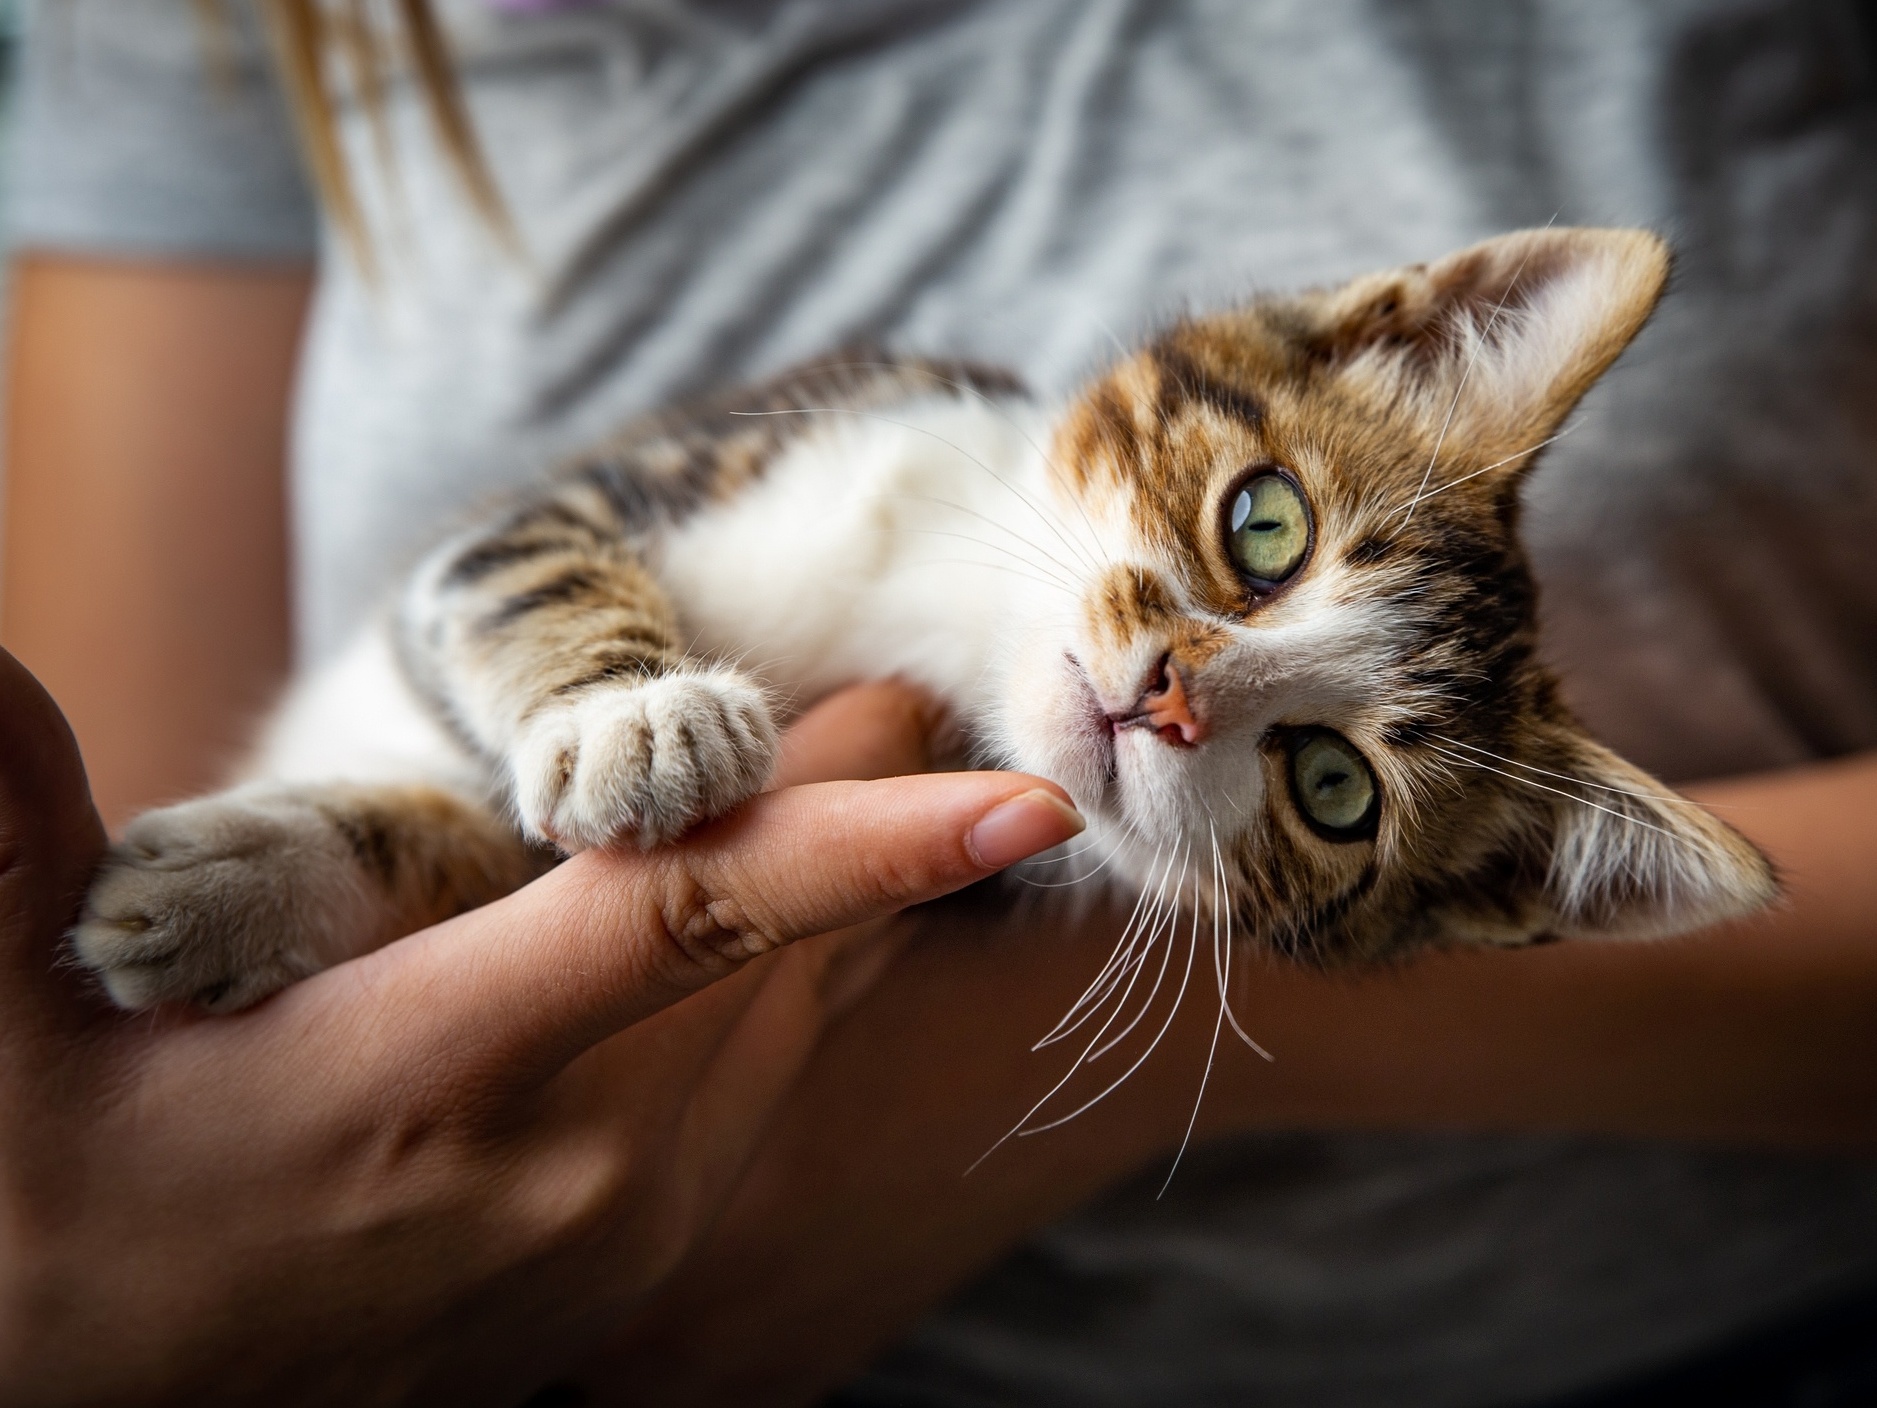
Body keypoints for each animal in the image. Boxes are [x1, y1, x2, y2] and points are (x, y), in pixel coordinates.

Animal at [73, 229, 1771, 1013]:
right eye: (1266, 529)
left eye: (1334, 789)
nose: (1166, 695)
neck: (939, 610)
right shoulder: (647, 472)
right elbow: (522, 568)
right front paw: (630, 714)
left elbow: (483, 845)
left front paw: (238, 889)